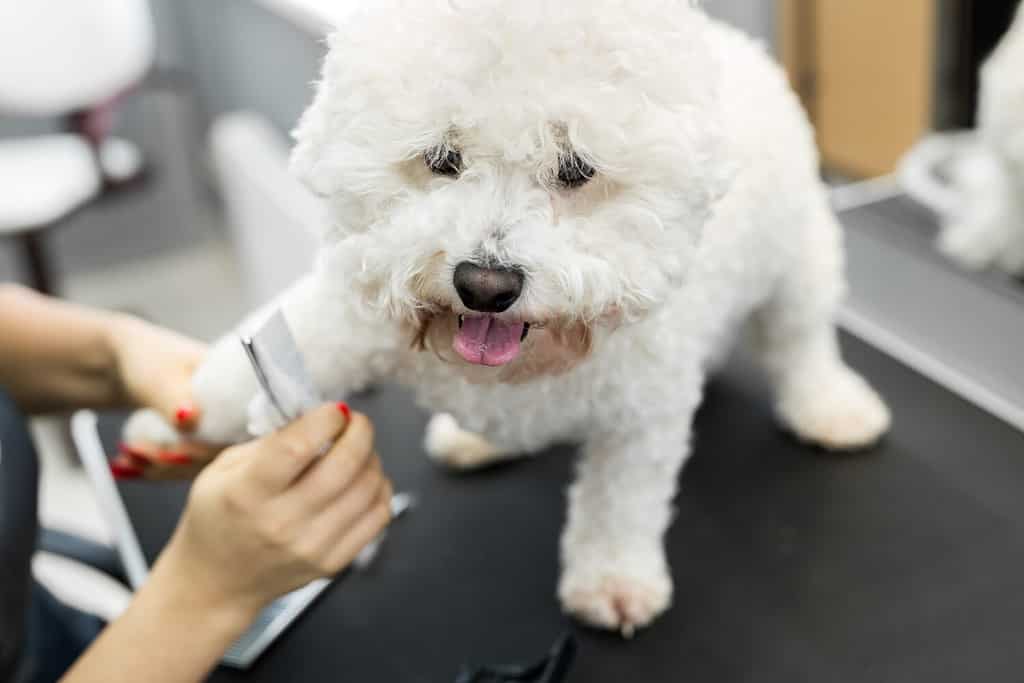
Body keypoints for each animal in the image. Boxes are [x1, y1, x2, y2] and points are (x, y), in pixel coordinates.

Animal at [128, 0, 892, 634]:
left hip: (798, 258)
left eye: (576, 168)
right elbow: (243, 372)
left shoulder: (642, 412)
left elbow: (621, 500)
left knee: (800, 338)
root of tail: (743, 46)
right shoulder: (343, 314)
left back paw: (829, 407)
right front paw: (176, 422)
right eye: (442, 157)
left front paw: (612, 579)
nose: (485, 284)